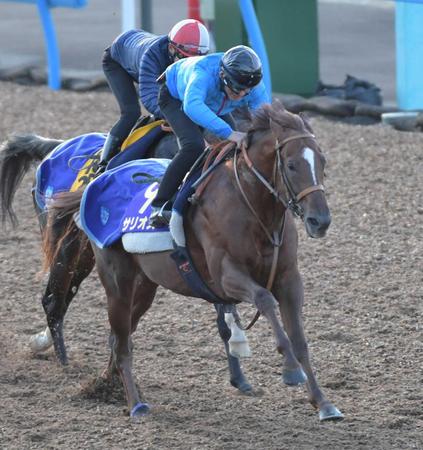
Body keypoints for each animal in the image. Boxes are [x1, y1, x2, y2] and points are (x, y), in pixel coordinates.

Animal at [44, 103, 344, 422]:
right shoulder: (226, 275)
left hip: (146, 285)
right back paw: (135, 403)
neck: (255, 211)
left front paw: (323, 403)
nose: (320, 221)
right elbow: (264, 299)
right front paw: (290, 370)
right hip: (117, 281)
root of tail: (100, 178)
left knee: (119, 335)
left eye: (322, 161)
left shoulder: (288, 279)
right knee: (122, 340)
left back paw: (107, 382)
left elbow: (299, 339)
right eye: (290, 165)